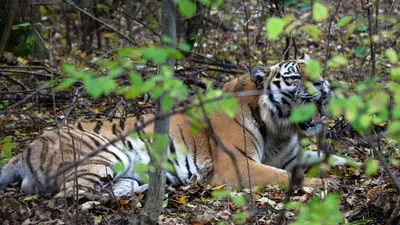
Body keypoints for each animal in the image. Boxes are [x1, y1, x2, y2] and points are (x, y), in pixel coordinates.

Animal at [0, 53, 350, 198]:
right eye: (294, 76)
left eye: (318, 70)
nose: (324, 83)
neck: (278, 128)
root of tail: (27, 149)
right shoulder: (238, 166)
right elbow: (282, 176)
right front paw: (322, 184)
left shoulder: (292, 155)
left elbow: (337, 159)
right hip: (104, 155)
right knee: (69, 197)